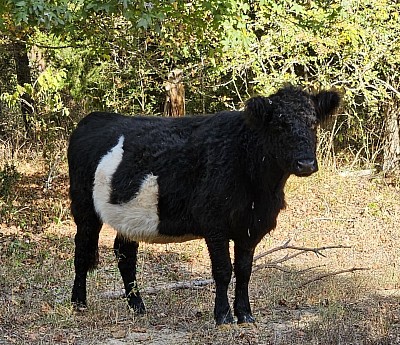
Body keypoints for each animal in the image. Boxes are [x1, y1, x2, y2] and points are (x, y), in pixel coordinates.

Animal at [67, 85, 340, 322]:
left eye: (313, 123)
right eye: (279, 125)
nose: (305, 163)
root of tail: (93, 118)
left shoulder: (251, 227)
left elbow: (244, 271)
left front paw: (245, 315)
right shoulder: (215, 224)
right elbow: (223, 270)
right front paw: (223, 316)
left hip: (129, 216)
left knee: (125, 254)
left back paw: (138, 306)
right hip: (83, 206)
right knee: (82, 249)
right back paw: (78, 303)